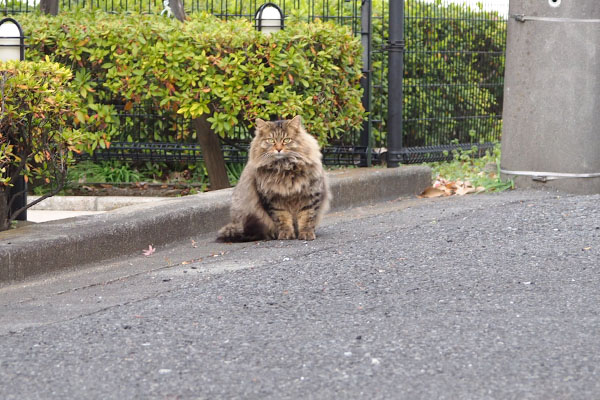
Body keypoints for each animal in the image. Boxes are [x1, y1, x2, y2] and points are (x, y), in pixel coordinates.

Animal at [217, 114, 330, 242]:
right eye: (271, 141)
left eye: (286, 140)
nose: (279, 149)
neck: (284, 167)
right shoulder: (273, 200)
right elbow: (282, 219)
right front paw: (286, 234)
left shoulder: (310, 194)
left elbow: (307, 217)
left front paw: (306, 233)